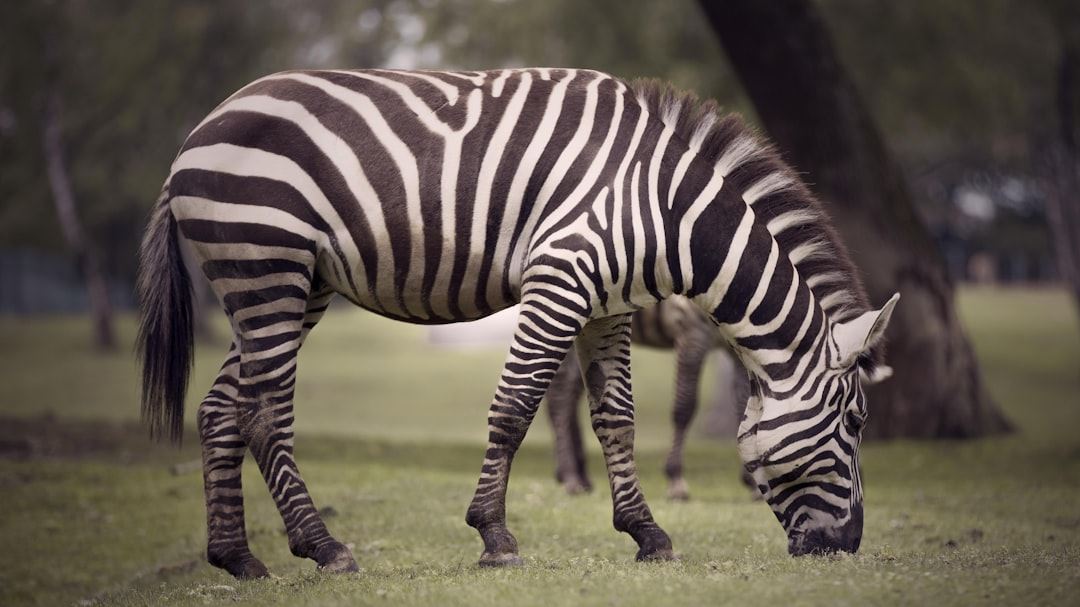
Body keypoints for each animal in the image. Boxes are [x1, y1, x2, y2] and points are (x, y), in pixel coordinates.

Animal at [137, 68, 899, 578]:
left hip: (292, 285)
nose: (850, 545)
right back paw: (323, 547)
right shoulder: (560, 278)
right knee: (265, 414)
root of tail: (196, 134)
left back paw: (237, 557)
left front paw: (647, 532)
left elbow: (616, 418)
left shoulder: (608, 306)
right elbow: (514, 406)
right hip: (267, 267)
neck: (666, 209)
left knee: (221, 410)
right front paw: (494, 536)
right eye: (857, 423)